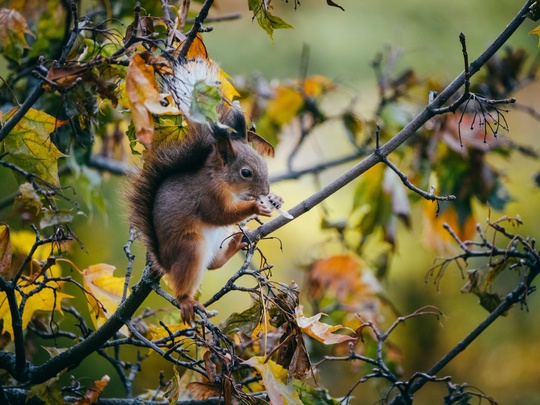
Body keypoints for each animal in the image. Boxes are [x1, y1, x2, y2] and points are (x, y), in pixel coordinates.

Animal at [128, 82, 284, 322]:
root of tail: (165, 261)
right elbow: (219, 214)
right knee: (189, 279)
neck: (220, 179)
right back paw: (186, 301)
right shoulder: (207, 195)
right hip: (191, 247)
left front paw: (275, 199)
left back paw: (235, 243)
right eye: (245, 173)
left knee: (213, 264)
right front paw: (256, 206)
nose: (265, 191)